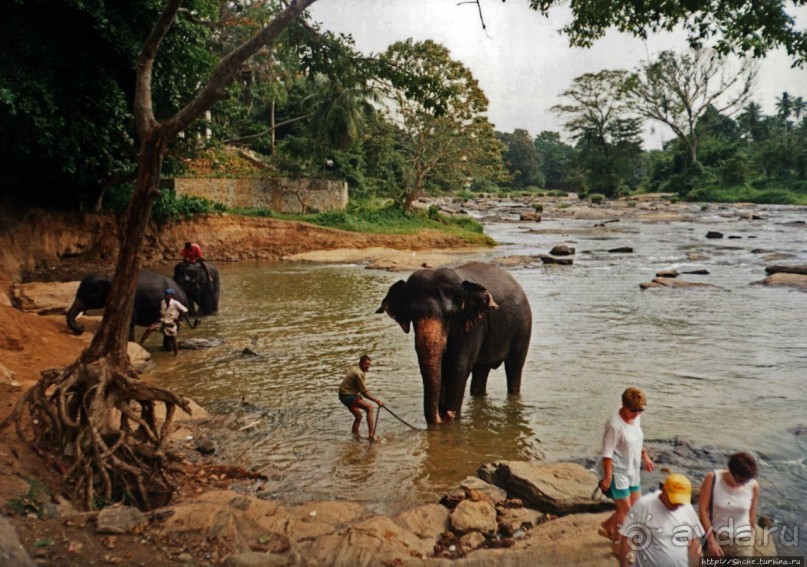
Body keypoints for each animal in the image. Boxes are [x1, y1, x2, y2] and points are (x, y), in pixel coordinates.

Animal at [66, 270, 199, 342]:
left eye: (85, 296)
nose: (82, 327)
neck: (109, 278)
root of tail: (183, 293)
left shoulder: (131, 303)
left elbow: (130, 321)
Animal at [380, 264, 536, 424]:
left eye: (450, 316)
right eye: (412, 316)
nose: (445, 415)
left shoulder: (473, 325)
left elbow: (458, 366)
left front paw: (451, 421)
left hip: (524, 325)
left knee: (514, 367)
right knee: (481, 370)